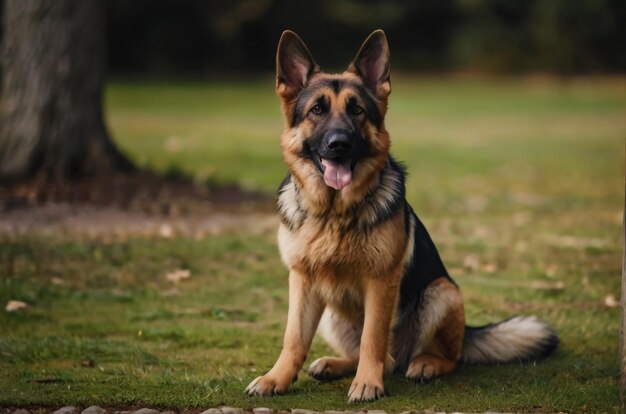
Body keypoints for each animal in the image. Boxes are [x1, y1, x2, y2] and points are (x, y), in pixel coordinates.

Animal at [244, 30, 556, 402]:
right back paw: (334, 365)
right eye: (317, 110)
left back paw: (425, 364)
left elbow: (373, 339)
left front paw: (367, 384)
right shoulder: (302, 281)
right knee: (383, 357)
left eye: (357, 110)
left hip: (441, 293)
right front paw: (275, 379)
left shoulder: (380, 282)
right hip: (332, 314)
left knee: (430, 357)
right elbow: (293, 339)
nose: (339, 144)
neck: (335, 212)